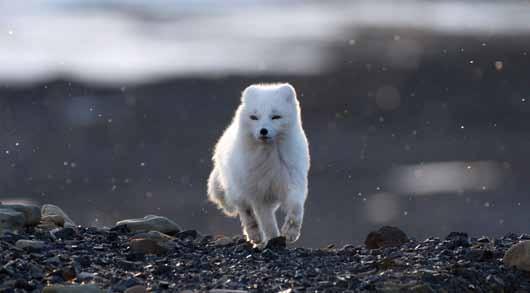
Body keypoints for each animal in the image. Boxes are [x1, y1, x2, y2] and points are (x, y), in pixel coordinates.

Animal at [207, 83, 310, 245]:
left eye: (276, 116)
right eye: (254, 117)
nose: (263, 131)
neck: (269, 159)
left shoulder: (293, 180)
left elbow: (296, 207)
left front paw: (290, 232)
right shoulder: (260, 196)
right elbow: (267, 222)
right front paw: (274, 238)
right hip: (239, 192)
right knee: (247, 214)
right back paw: (255, 236)